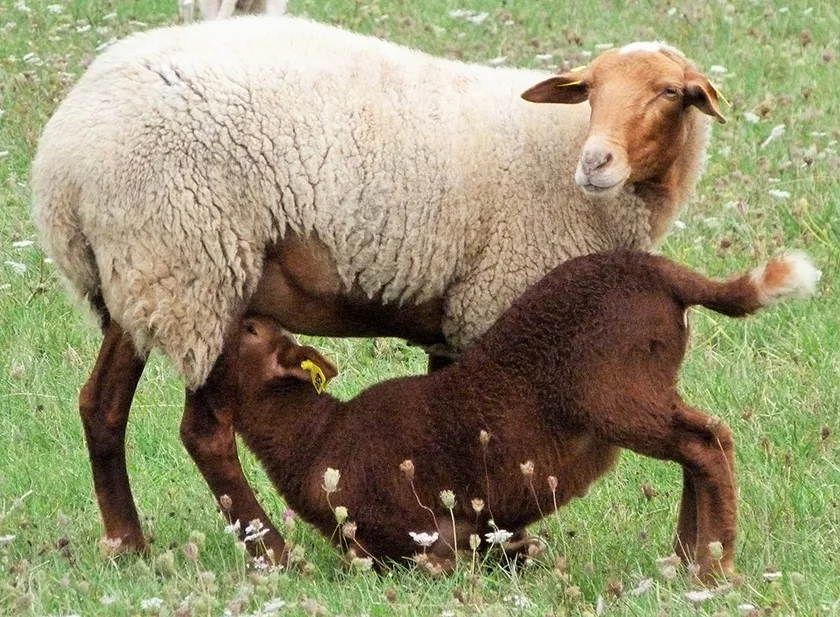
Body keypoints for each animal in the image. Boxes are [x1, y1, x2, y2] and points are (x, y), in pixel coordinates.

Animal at [32, 16, 724, 552]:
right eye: (590, 90)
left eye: (671, 93)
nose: (595, 163)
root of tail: (61, 159)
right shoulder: (491, 300)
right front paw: (496, 541)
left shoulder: (456, 313)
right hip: (194, 268)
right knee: (204, 433)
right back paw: (270, 551)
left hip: (139, 278)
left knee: (101, 406)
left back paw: (128, 544)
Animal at [207, 249, 816, 576]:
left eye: (251, 329)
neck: (315, 437)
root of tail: (665, 274)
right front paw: (523, 552)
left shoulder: (417, 534)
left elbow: (441, 559)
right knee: (701, 448)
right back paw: (687, 559)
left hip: (618, 392)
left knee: (705, 443)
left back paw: (711, 567)